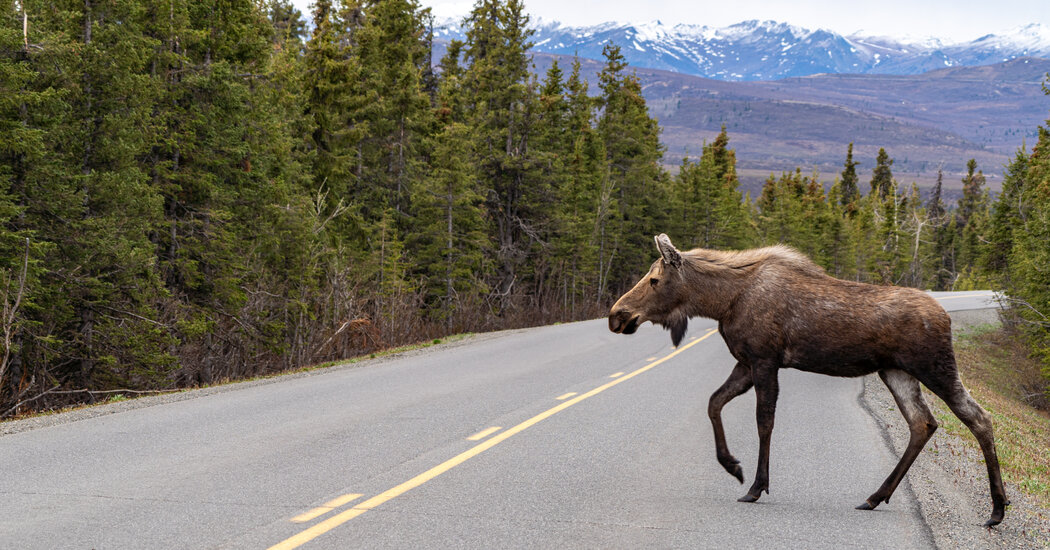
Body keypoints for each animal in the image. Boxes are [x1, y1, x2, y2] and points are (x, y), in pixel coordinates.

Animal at [607, 234, 1008, 527]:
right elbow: (714, 402)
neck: (722, 302)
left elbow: (764, 421)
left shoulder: (765, 360)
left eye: (654, 279)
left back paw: (997, 509)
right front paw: (732, 465)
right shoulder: (746, 362)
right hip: (896, 371)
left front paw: (757, 485)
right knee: (922, 422)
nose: (616, 315)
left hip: (935, 367)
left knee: (979, 417)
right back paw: (875, 496)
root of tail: (946, 317)